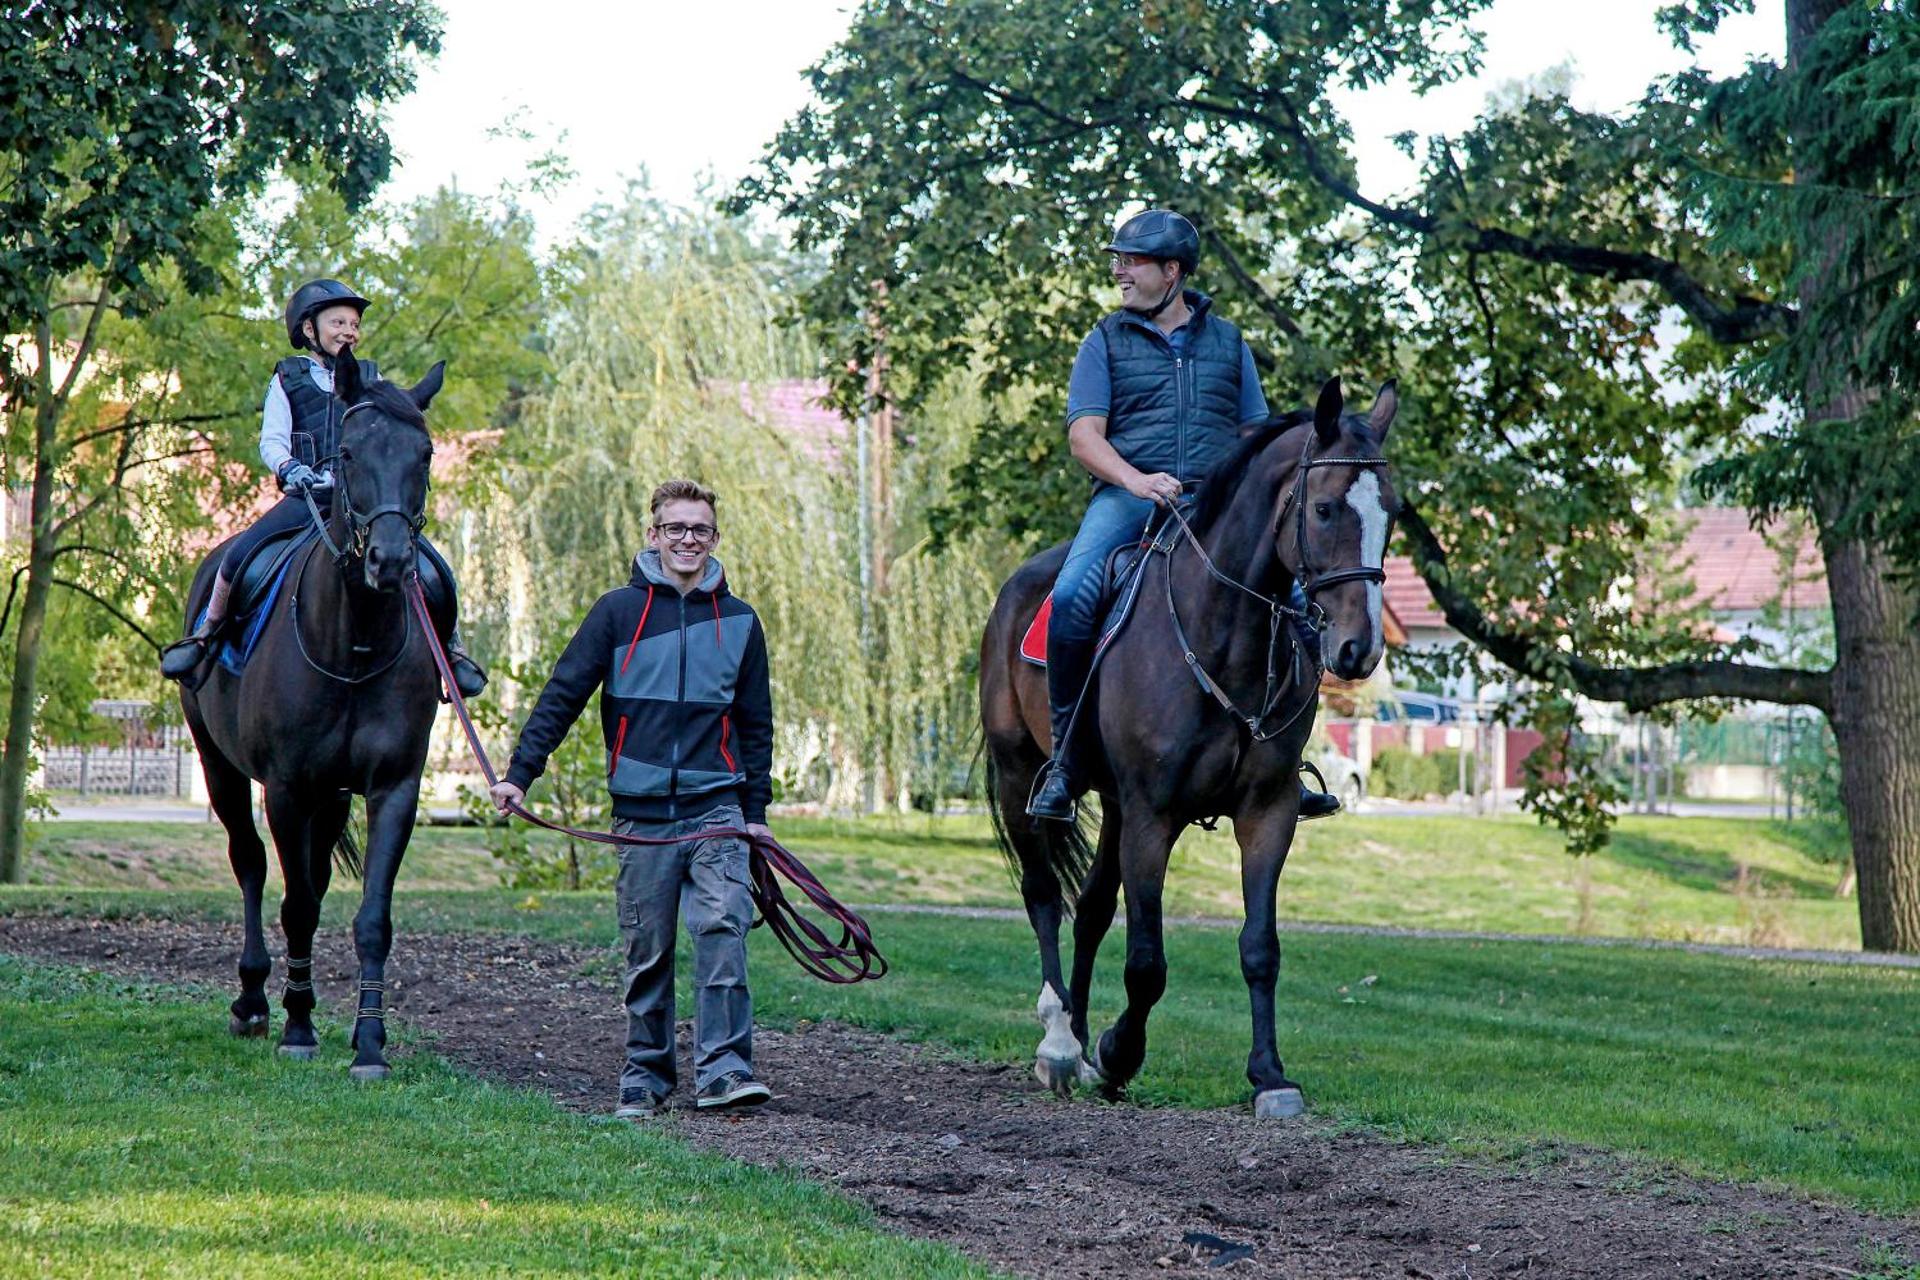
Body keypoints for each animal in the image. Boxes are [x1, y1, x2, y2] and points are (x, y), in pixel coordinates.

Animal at [179, 355, 447, 1081]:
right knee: (250, 863)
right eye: (348, 453)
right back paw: (253, 1001)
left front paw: (370, 1041)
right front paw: (298, 1026)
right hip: (220, 766)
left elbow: (370, 917)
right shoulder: (288, 789)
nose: (390, 561)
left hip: (332, 796)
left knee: (318, 879)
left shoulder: (392, 789)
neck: (354, 641)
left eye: (425, 453)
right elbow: (295, 905)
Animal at [980, 376, 1397, 1117]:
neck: (1223, 635)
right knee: (1043, 896)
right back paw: (1059, 1041)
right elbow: (1147, 961)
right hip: (1018, 777)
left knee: (1090, 910)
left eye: (1394, 515)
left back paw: (1078, 1038)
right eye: (1323, 509)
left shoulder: (1268, 812)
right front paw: (1120, 1054)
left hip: (1113, 804)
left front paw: (1269, 1075)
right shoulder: (1153, 815)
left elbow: (1260, 948)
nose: (1358, 649)